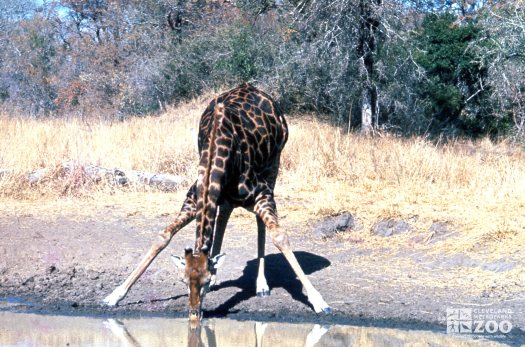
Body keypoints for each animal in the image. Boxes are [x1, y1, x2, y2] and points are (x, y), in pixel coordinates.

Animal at [102, 83, 330, 322]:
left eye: (204, 281)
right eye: (183, 280)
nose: (194, 313)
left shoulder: (261, 194)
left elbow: (279, 236)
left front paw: (319, 302)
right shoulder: (194, 198)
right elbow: (163, 236)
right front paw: (114, 295)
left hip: (273, 165)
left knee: (259, 221)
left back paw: (262, 286)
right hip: (228, 194)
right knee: (224, 216)